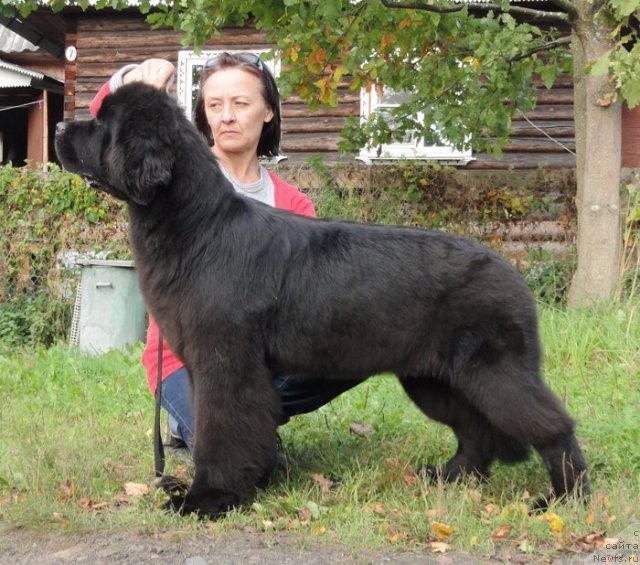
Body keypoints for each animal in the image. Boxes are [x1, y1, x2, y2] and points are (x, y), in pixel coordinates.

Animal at [55, 81, 592, 516]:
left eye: (102, 124)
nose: (60, 125)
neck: (195, 225)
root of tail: (512, 273)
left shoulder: (226, 364)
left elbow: (220, 434)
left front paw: (206, 500)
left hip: (495, 371)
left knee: (552, 424)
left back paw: (564, 497)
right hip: (434, 379)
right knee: (474, 430)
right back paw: (450, 476)